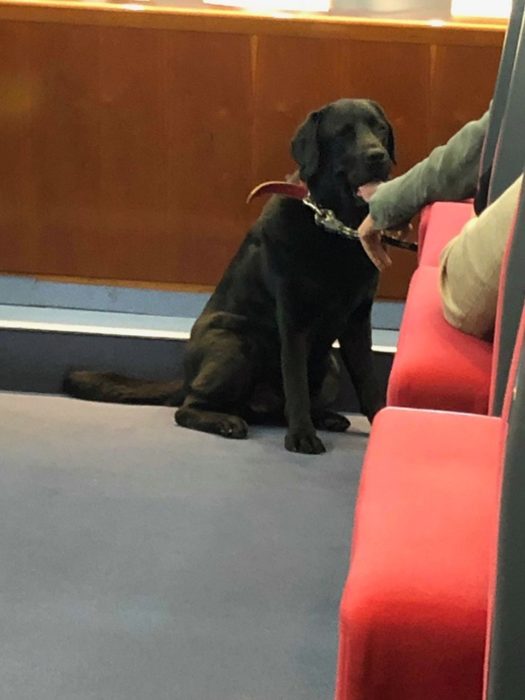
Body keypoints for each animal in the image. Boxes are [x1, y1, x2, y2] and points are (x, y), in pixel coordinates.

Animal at [65, 101, 392, 456]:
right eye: (343, 133)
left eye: (380, 128)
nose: (377, 155)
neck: (332, 226)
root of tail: (186, 378)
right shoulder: (293, 318)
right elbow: (296, 381)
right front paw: (302, 436)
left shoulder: (357, 320)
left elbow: (368, 382)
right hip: (234, 345)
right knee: (189, 407)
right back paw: (226, 421)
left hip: (329, 367)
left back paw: (325, 417)